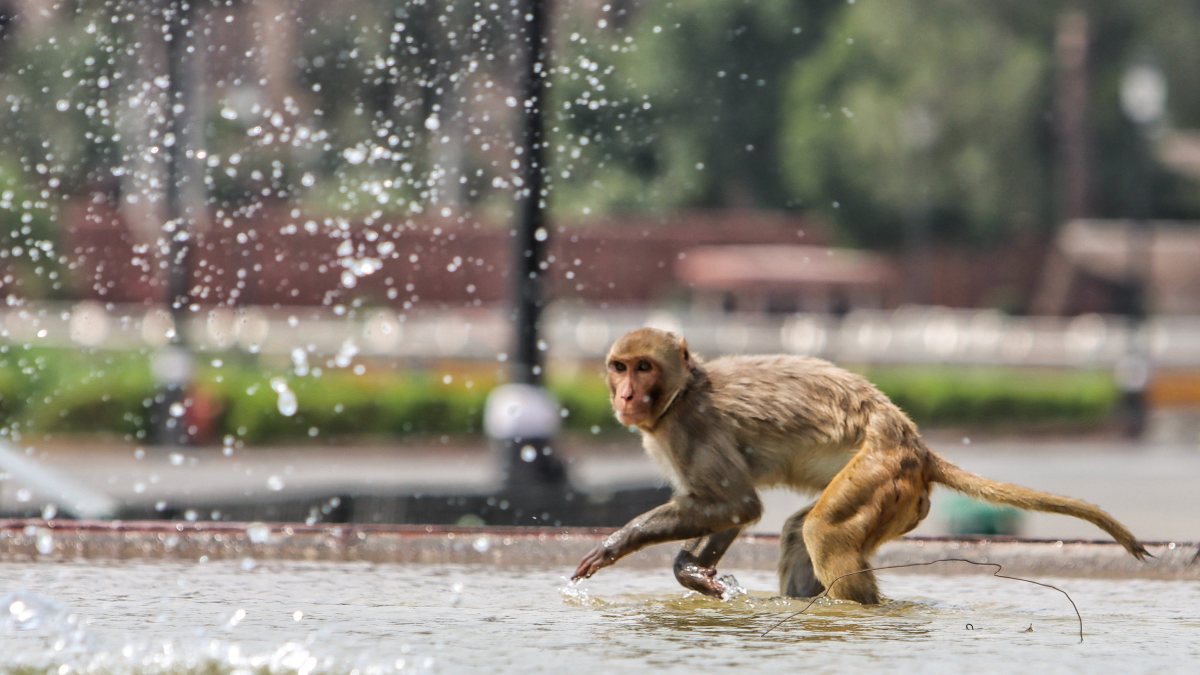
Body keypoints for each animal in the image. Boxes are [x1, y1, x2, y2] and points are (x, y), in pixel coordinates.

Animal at [571, 327, 1150, 604]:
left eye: (643, 367)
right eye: (619, 367)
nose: (626, 394)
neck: (681, 392)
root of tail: (917, 446)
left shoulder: (689, 426)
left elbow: (738, 501)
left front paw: (616, 543)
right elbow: (734, 511)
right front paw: (694, 572)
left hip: (881, 474)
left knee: (823, 531)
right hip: (899, 497)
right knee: (799, 531)